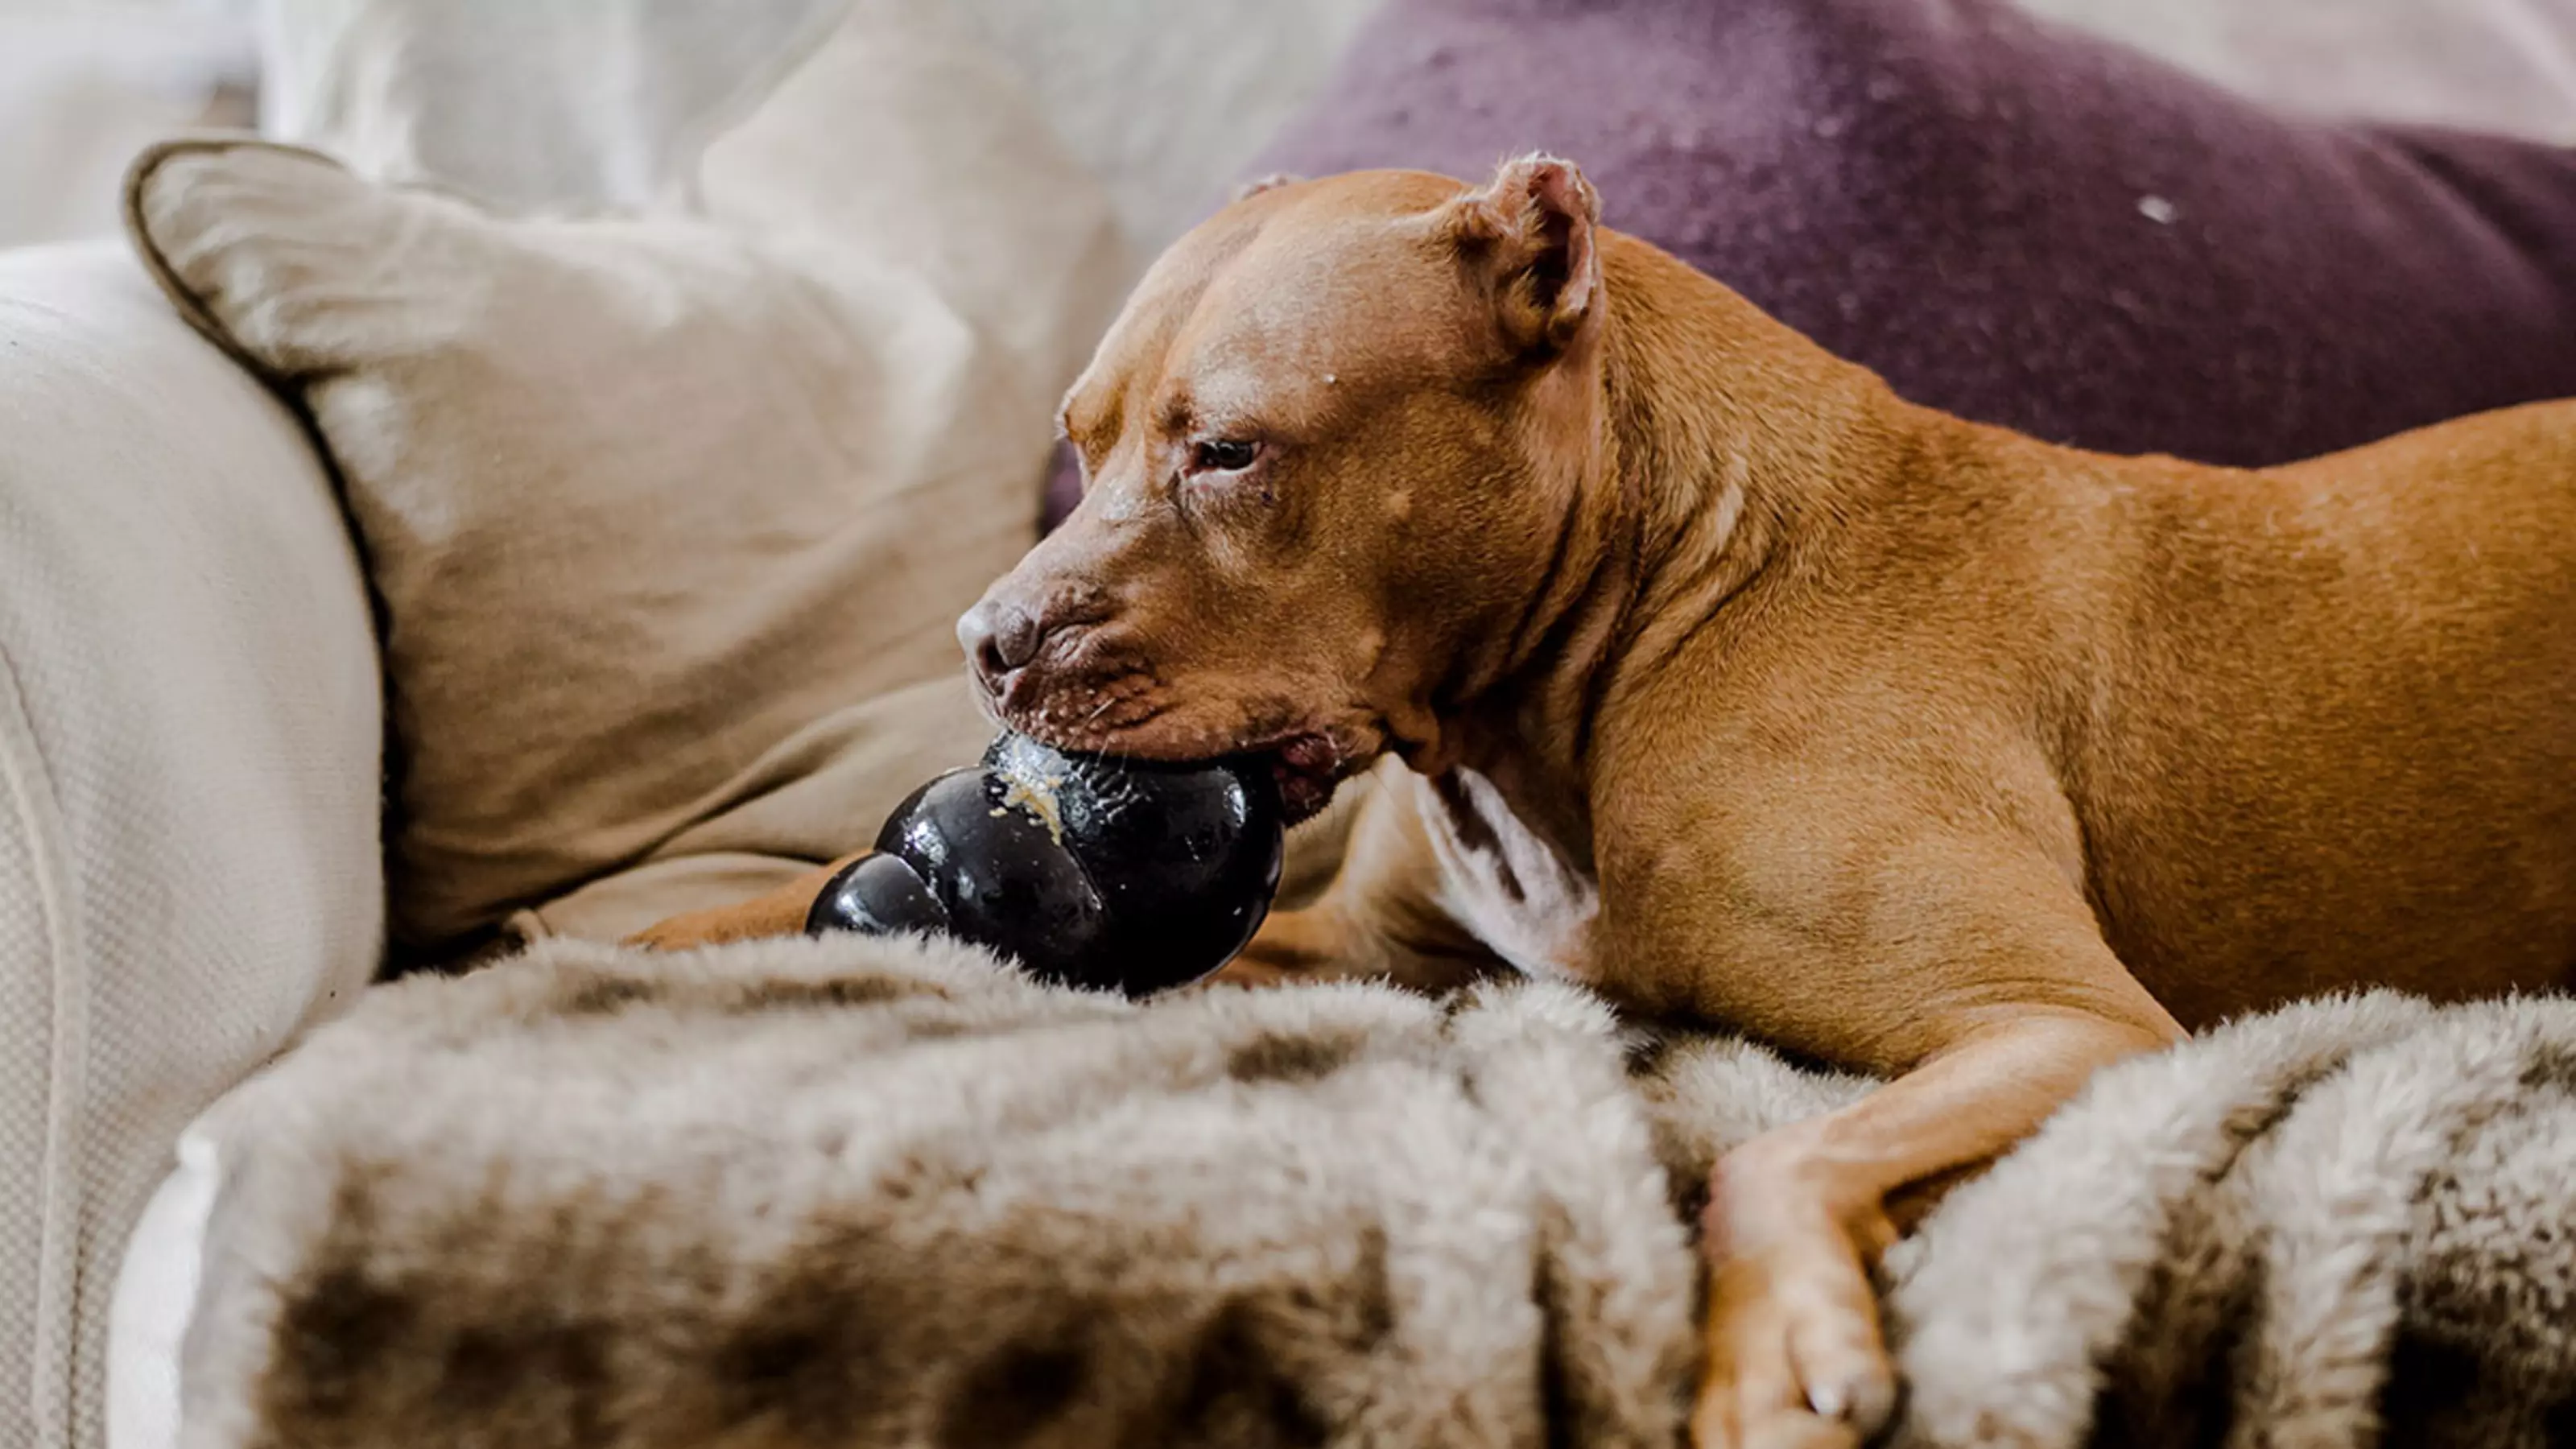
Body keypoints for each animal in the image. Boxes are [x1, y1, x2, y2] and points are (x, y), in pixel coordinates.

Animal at [638, 151, 2576, 1433]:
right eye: (1083, 435)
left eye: (1233, 450)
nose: (985, 640)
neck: (1616, 643)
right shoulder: (1376, 949)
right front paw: (678, 928)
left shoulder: (2069, 1028)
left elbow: (1779, 1154)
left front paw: (1769, 1356)